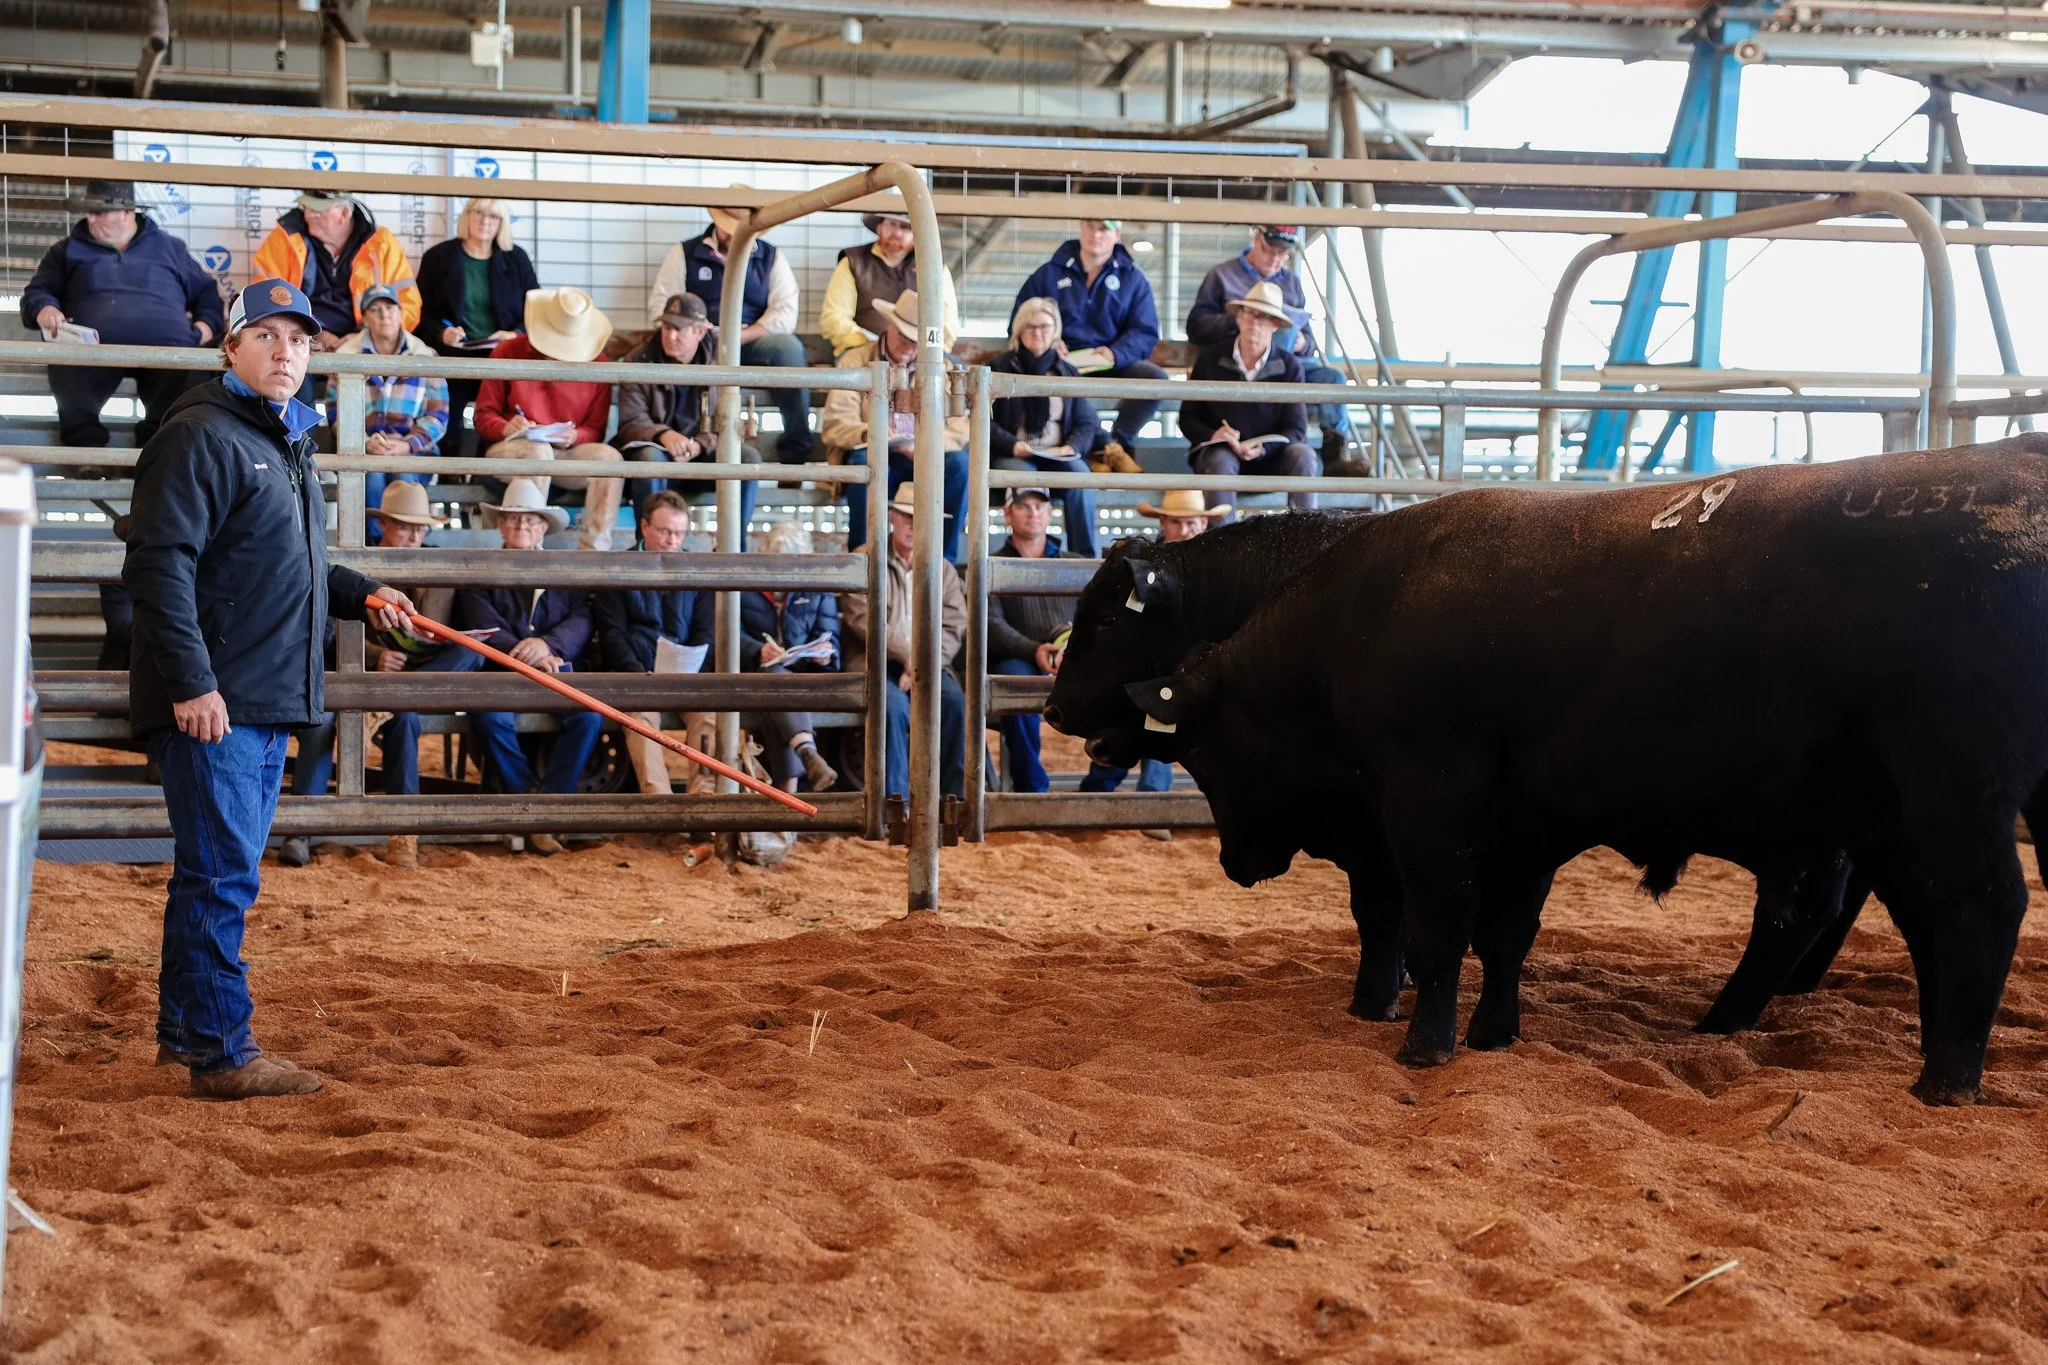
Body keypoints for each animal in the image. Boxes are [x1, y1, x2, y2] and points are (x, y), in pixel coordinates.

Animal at [1057, 440, 2048, 1104]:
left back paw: (1941, 1074)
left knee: (1969, 908)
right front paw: (1491, 1033)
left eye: (1104, 621)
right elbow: (1501, 935)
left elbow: (1422, 925)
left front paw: (1412, 1034)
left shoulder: (1418, 808)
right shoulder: (1522, 827)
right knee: (1900, 917)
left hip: (1946, 793)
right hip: (1901, 810)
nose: (1059, 711)